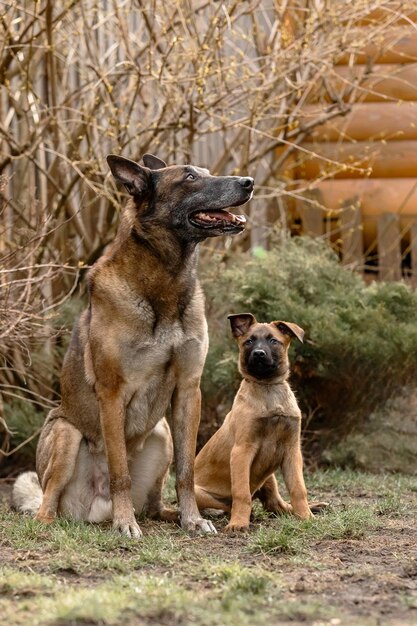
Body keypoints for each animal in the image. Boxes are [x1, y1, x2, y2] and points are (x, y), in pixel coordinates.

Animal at [12, 154, 254, 532]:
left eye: (206, 172)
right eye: (189, 177)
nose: (249, 182)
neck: (165, 282)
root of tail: (95, 511)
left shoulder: (188, 390)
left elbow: (185, 471)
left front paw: (192, 518)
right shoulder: (112, 394)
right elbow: (119, 471)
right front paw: (125, 523)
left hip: (162, 434)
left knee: (154, 505)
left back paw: (177, 514)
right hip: (66, 433)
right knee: (47, 502)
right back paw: (60, 520)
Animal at [193, 310, 320, 528]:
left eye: (273, 341)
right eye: (249, 341)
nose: (259, 354)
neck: (268, 388)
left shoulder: (292, 450)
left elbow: (298, 489)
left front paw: (306, 517)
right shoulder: (242, 451)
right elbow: (241, 493)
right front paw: (238, 523)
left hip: (269, 476)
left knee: (275, 504)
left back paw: (314, 507)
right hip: (199, 492)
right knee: (233, 503)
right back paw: (242, 515)